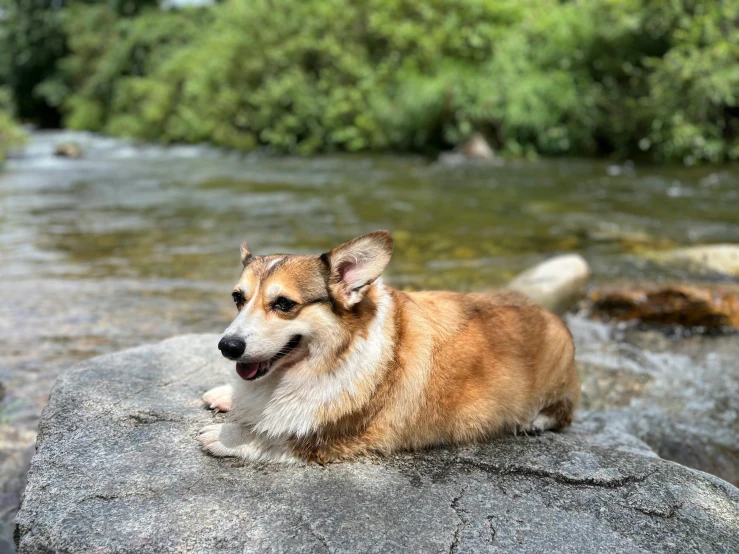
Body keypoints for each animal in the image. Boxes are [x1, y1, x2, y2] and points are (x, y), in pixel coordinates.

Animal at [199, 231, 580, 464]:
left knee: (563, 413)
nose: (227, 346)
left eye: (283, 304)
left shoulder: (336, 436)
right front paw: (225, 395)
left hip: (557, 387)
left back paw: (535, 422)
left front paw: (225, 435)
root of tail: (553, 316)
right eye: (237, 298)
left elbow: (274, 436)